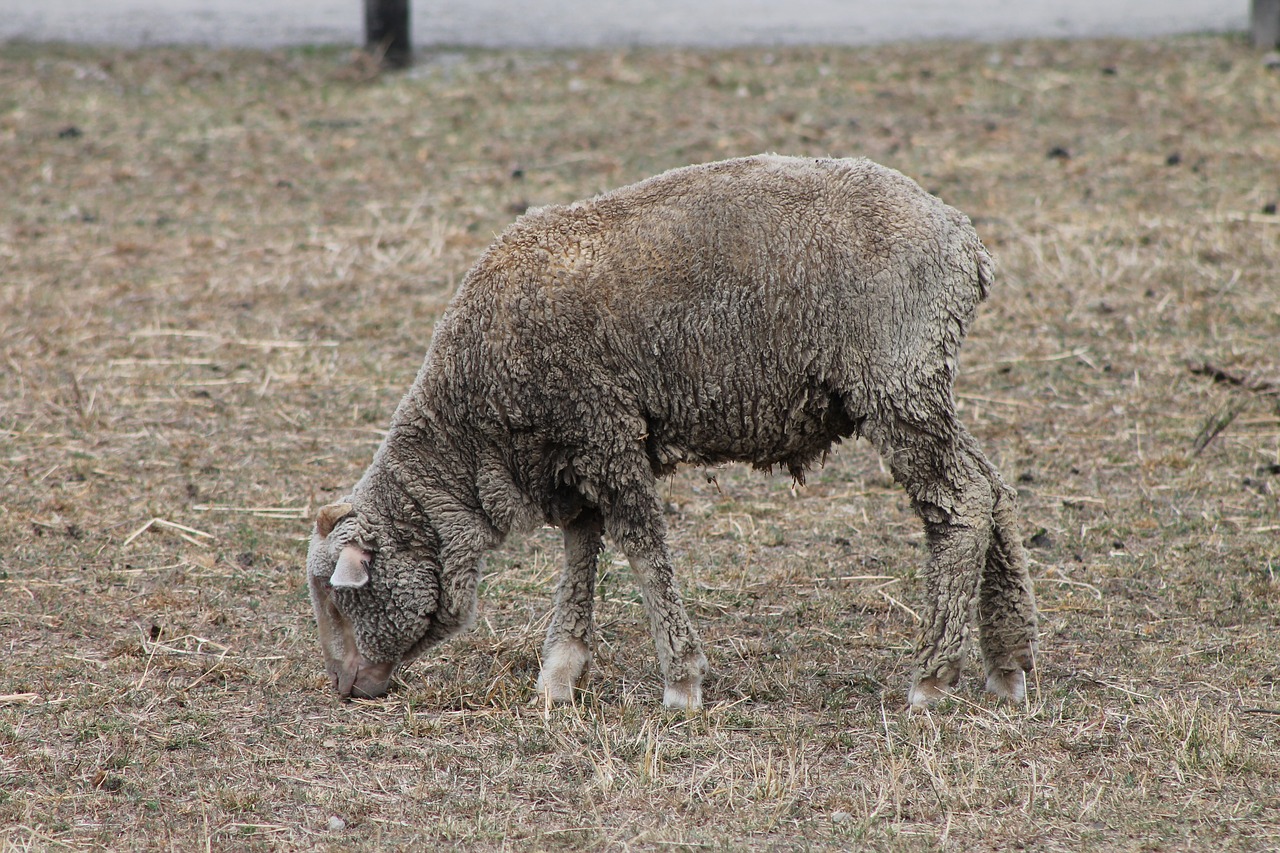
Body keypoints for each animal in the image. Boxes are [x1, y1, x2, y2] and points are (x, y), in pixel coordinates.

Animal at [307, 154, 1039, 712]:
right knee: (995, 490)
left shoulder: (603, 432)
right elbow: (582, 548)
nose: (345, 687)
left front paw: (681, 683)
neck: (474, 435)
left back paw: (932, 678)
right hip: (921, 382)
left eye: (342, 600)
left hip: (896, 380)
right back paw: (1008, 664)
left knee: (960, 503)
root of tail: (963, 241)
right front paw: (559, 673)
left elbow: (641, 547)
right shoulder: (573, 453)